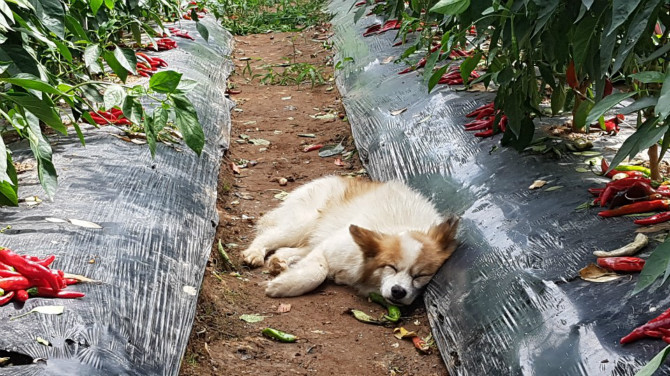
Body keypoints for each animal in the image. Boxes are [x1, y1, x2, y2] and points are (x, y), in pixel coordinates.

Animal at [243, 176, 462, 306]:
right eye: (390, 267)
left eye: (421, 276)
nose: (398, 291)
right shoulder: (330, 247)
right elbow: (318, 272)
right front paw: (283, 287)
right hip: (302, 225)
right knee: (267, 236)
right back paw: (254, 254)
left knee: (294, 249)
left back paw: (280, 261)